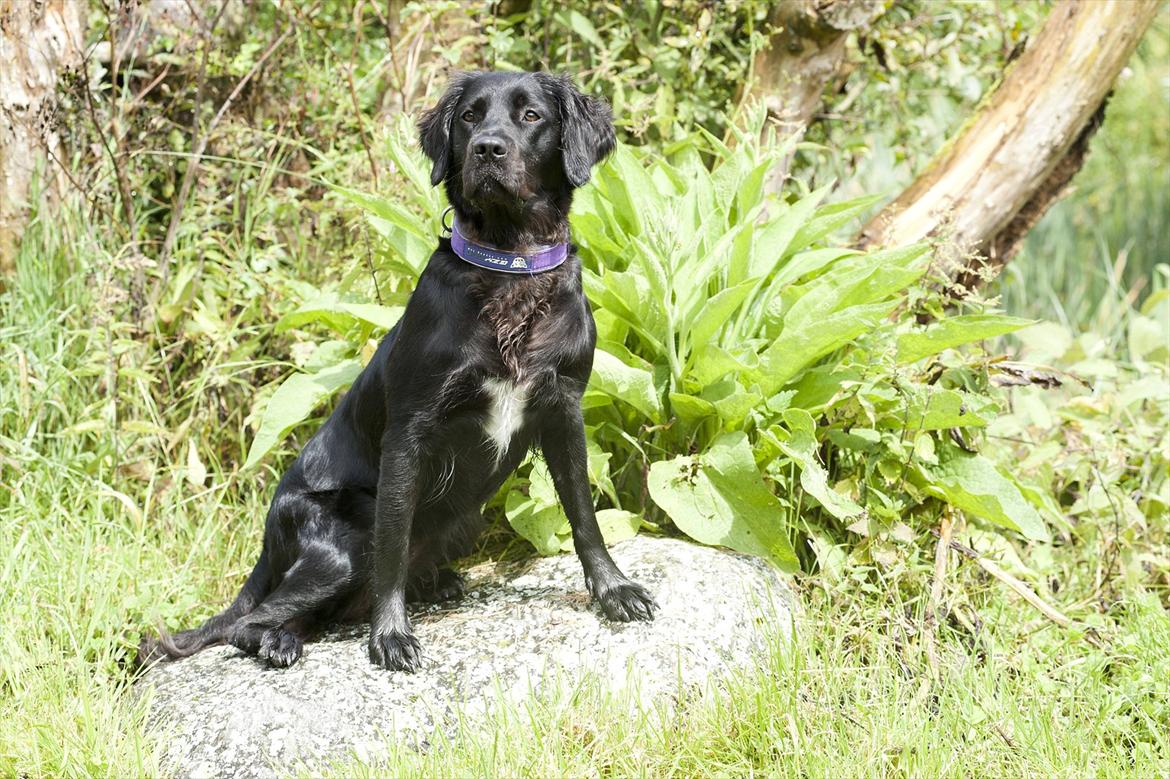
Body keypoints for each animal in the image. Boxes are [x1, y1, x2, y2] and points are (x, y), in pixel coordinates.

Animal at [136, 69, 659, 669]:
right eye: (470, 116)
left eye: (531, 116)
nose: (487, 149)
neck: (507, 270)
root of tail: (270, 536)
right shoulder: (410, 431)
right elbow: (392, 544)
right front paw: (390, 635)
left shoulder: (563, 407)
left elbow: (584, 516)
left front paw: (614, 589)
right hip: (341, 543)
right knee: (249, 620)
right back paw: (278, 640)